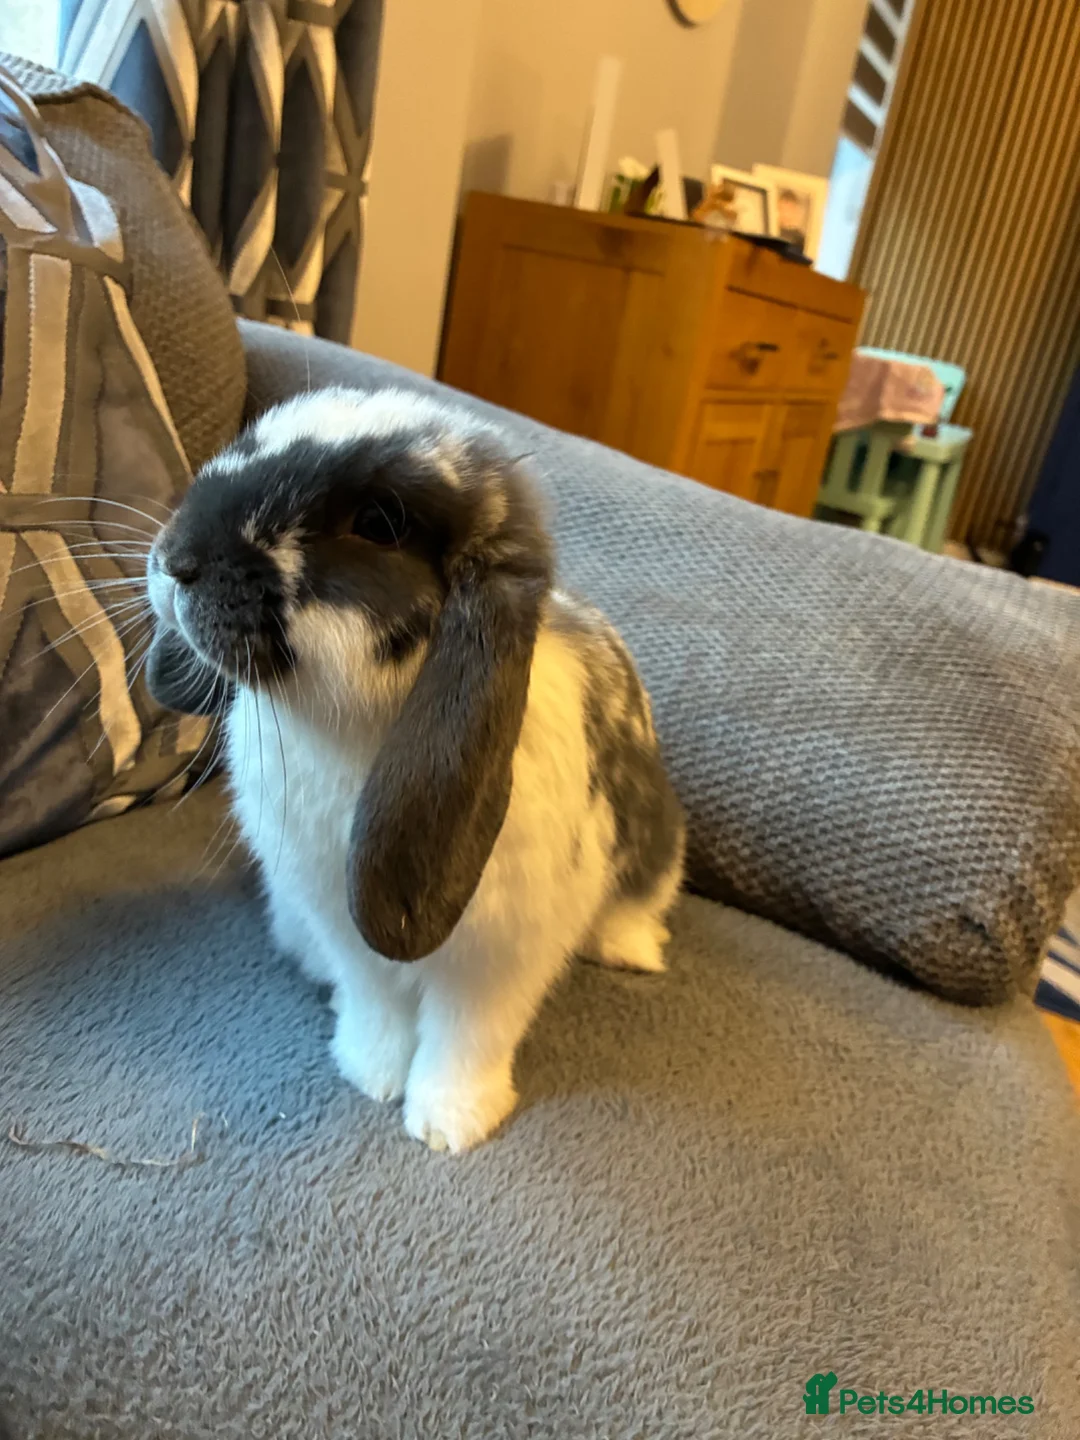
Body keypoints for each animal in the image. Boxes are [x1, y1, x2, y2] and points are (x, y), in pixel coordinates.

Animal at [146, 387, 685, 1152]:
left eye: (379, 522)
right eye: (250, 442)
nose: (176, 559)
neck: (348, 728)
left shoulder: (497, 959)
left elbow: (467, 1038)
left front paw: (449, 1124)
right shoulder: (348, 932)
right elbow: (377, 1009)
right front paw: (369, 1076)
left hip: (657, 849)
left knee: (642, 901)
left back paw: (627, 948)